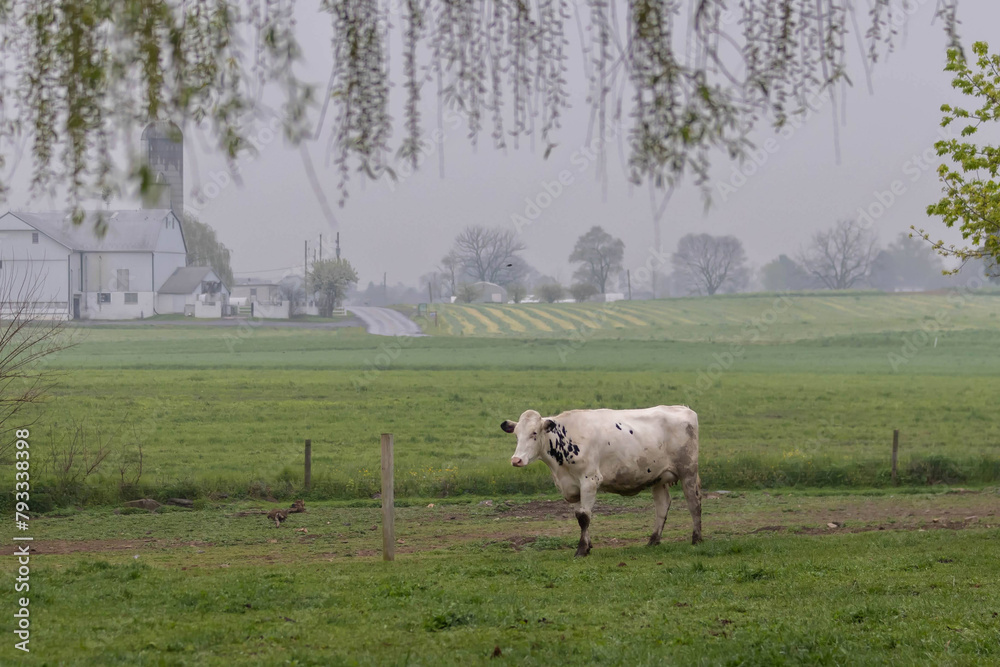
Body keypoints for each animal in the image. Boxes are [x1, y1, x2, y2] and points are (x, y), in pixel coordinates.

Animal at [500, 406, 701, 556]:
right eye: (516, 435)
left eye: (534, 433)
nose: (516, 460)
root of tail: (683, 408)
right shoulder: (573, 487)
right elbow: (580, 515)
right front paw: (588, 545)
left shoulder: (590, 480)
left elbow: (584, 517)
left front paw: (582, 550)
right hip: (658, 477)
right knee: (662, 506)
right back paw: (653, 540)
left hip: (688, 471)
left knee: (694, 501)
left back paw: (697, 538)